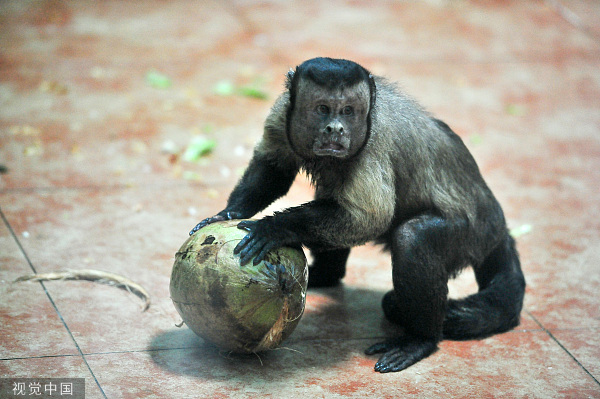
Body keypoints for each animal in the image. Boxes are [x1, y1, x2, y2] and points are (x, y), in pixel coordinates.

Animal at [192, 57, 524, 376]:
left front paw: (275, 227)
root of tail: (498, 226)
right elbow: (274, 166)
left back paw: (420, 340)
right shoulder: (280, 113)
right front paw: (230, 212)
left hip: (471, 236)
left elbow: (368, 219)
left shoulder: (373, 145)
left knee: (412, 237)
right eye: (323, 109)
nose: (336, 129)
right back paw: (325, 275)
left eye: (348, 111)